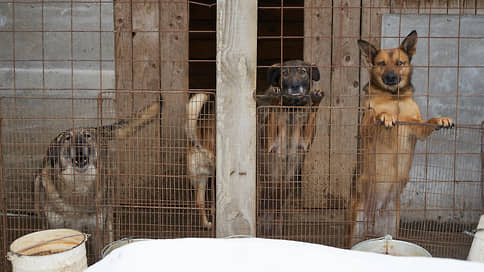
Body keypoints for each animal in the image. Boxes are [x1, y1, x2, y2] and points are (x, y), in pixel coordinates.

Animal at [34, 99, 163, 253]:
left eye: (86, 136)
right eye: (67, 138)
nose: (79, 144)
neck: (79, 189)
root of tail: (96, 128)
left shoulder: (98, 228)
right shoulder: (54, 226)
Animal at [348, 30, 454, 248]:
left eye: (400, 63)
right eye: (381, 63)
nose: (390, 77)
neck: (394, 98)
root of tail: (374, 214)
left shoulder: (416, 129)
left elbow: (428, 122)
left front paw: (441, 119)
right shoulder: (366, 128)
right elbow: (375, 116)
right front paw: (386, 116)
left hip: (391, 225)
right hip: (355, 224)